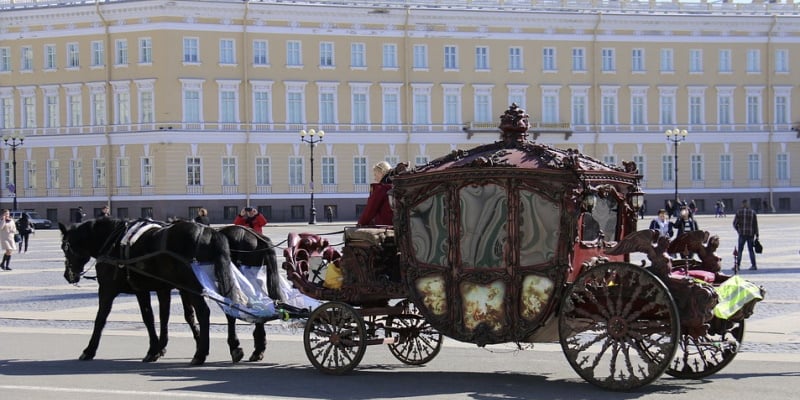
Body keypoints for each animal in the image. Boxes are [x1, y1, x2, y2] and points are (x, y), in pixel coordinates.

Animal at [60, 217, 244, 364]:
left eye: (64, 247)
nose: (67, 276)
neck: (113, 242)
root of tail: (209, 232)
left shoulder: (109, 289)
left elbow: (103, 319)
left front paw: (89, 350)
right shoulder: (156, 289)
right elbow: (160, 317)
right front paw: (158, 348)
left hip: (194, 286)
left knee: (204, 312)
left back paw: (200, 354)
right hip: (216, 280)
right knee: (229, 309)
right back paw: (234, 347)